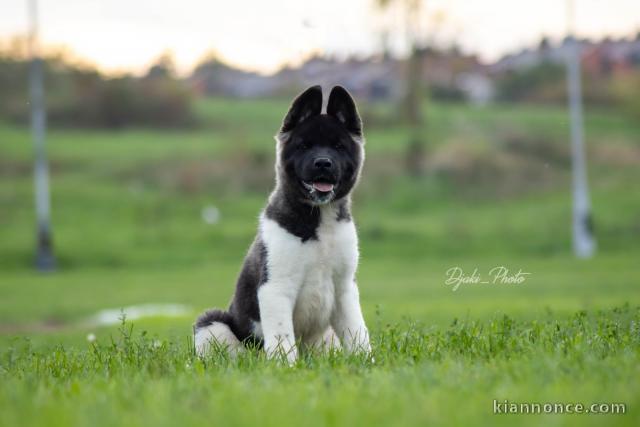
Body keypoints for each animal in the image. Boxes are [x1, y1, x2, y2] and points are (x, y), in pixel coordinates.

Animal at [192, 85, 368, 362]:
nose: (323, 163)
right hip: (212, 323)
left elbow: (358, 332)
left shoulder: (344, 289)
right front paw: (286, 367)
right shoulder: (276, 287)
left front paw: (365, 361)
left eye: (338, 146)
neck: (319, 219)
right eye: (304, 145)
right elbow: (282, 337)